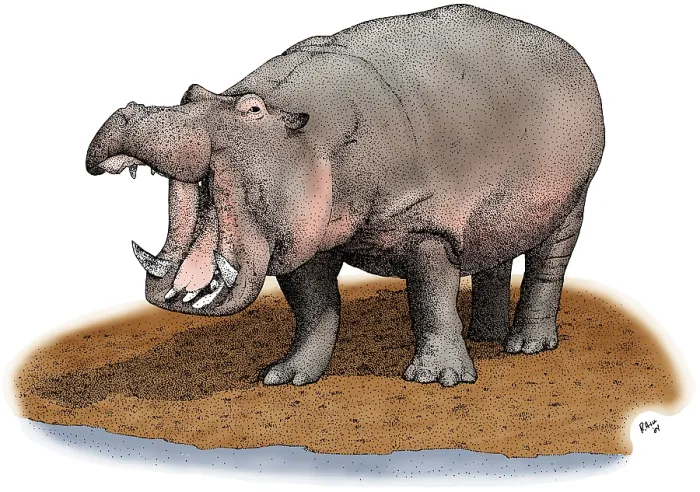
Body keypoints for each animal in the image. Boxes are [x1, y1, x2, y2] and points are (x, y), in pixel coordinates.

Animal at [85, 4, 604, 387]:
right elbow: (314, 310)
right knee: (493, 253)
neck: (311, 134)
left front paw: (438, 380)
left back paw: (526, 346)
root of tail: (570, 51)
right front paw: (287, 377)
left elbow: (431, 300)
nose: (130, 110)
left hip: (574, 200)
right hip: (495, 212)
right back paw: (484, 337)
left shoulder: (427, 227)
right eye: (191, 92)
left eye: (251, 110)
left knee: (548, 265)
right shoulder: (305, 240)